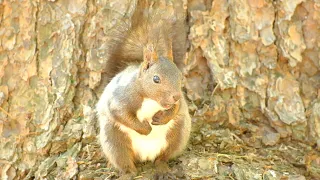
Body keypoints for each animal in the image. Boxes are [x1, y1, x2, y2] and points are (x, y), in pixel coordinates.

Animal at [95, 0, 190, 179]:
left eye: (181, 77)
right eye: (156, 79)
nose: (175, 96)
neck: (151, 99)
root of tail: (146, 155)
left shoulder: (180, 102)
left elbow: (176, 109)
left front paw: (162, 118)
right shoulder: (120, 98)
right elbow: (122, 114)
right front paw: (145, 128)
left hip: (179, 134)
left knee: (163, 157)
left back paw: (162, 168)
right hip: (114, 140)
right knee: (124, 160)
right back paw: (128, 173)